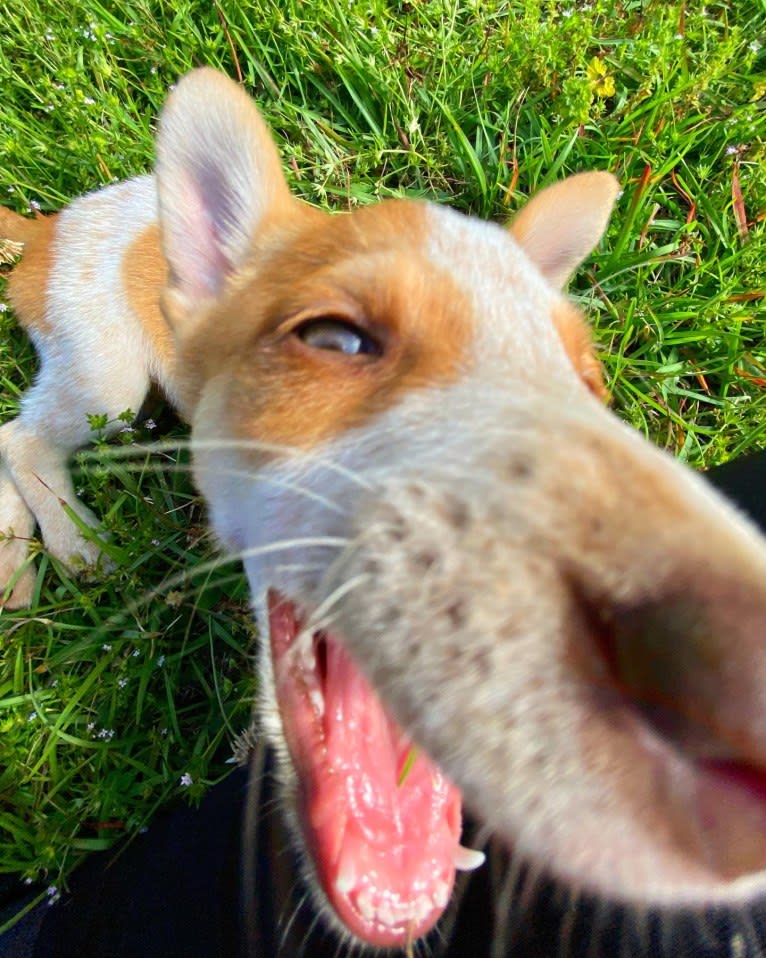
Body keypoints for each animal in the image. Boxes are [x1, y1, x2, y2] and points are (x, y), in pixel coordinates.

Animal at [1, 69, 766, 958]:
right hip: (111, 383)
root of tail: (50, 226)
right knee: (21, 436)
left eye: (585, 384)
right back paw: (62, 545)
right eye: (334, 339)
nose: (733, 694)